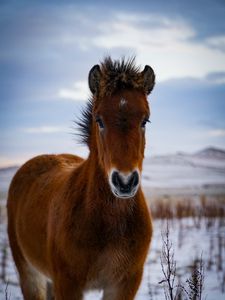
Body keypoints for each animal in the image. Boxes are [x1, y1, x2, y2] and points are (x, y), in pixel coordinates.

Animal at [7, 57, 155, 298]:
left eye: (145, 121)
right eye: (99, 120)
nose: (124, 182)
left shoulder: (125, 283)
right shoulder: (68, 284)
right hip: (29, 274)